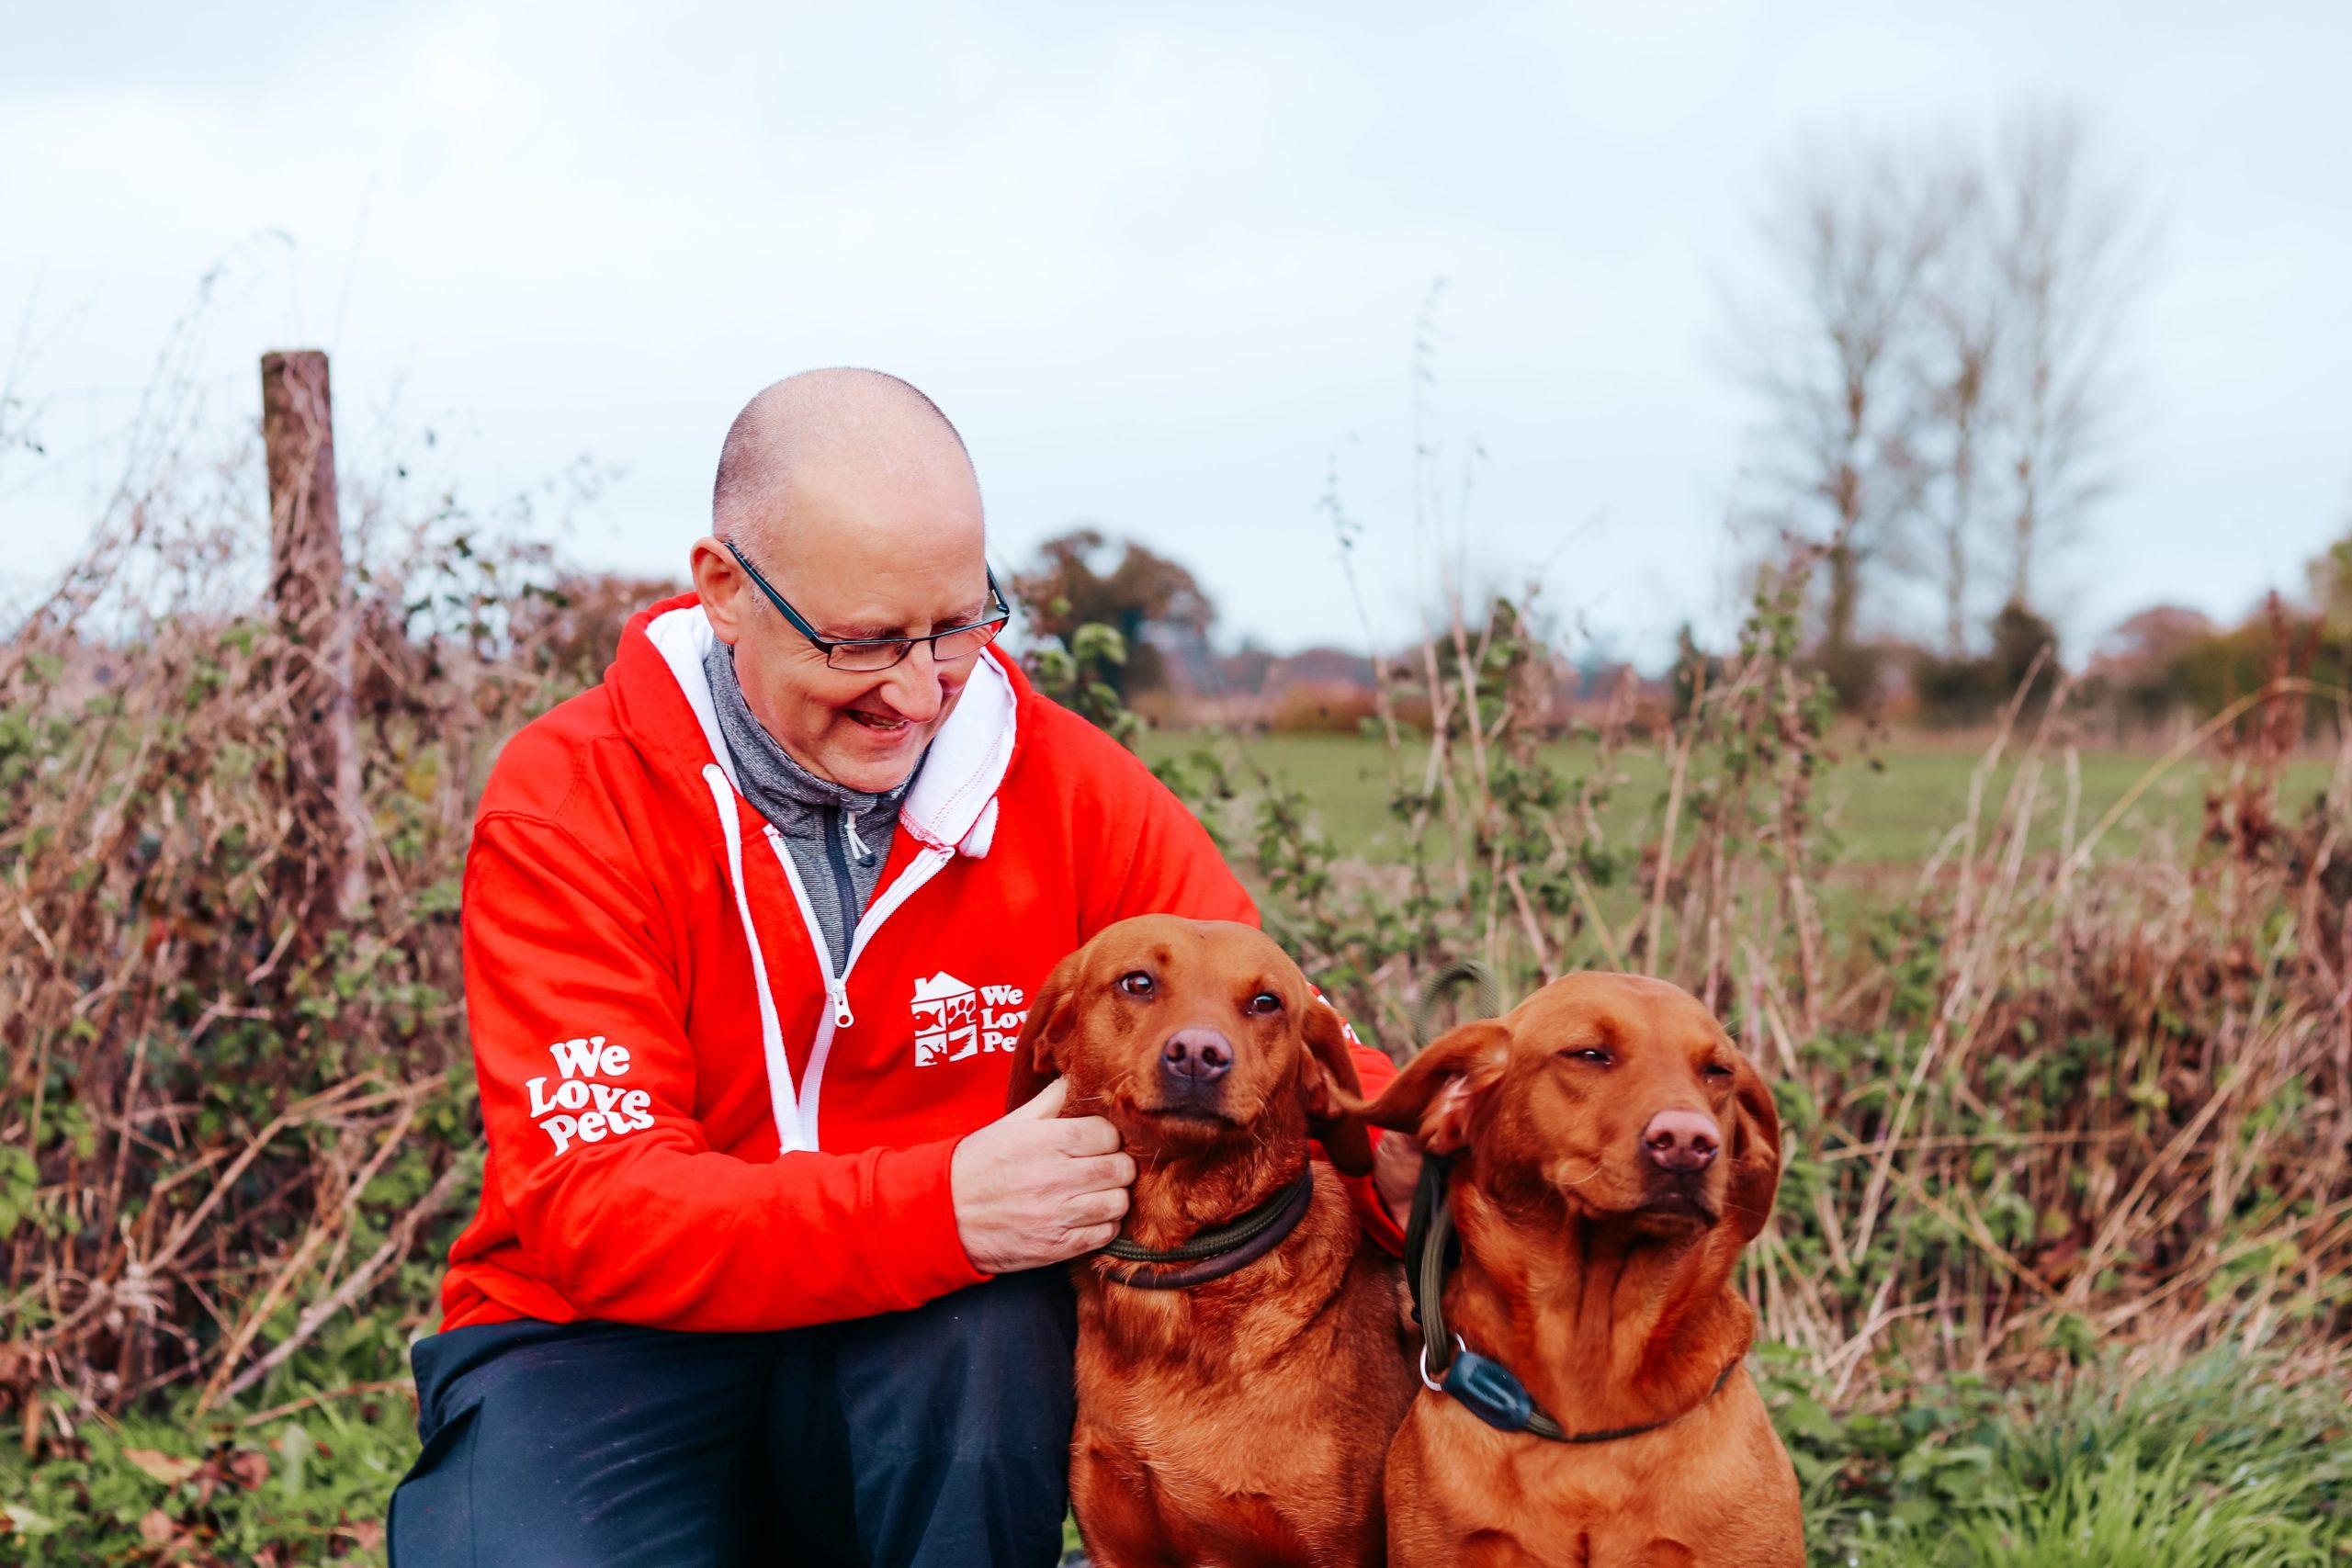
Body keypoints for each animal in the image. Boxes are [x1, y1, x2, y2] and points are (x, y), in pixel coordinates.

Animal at [1006, 911, 1411, 1568]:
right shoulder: (1117, 1544)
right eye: (1137, 982)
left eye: (1266, 1002)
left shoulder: (1336, 1551)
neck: (1174, 1268)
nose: (1199, 1054)